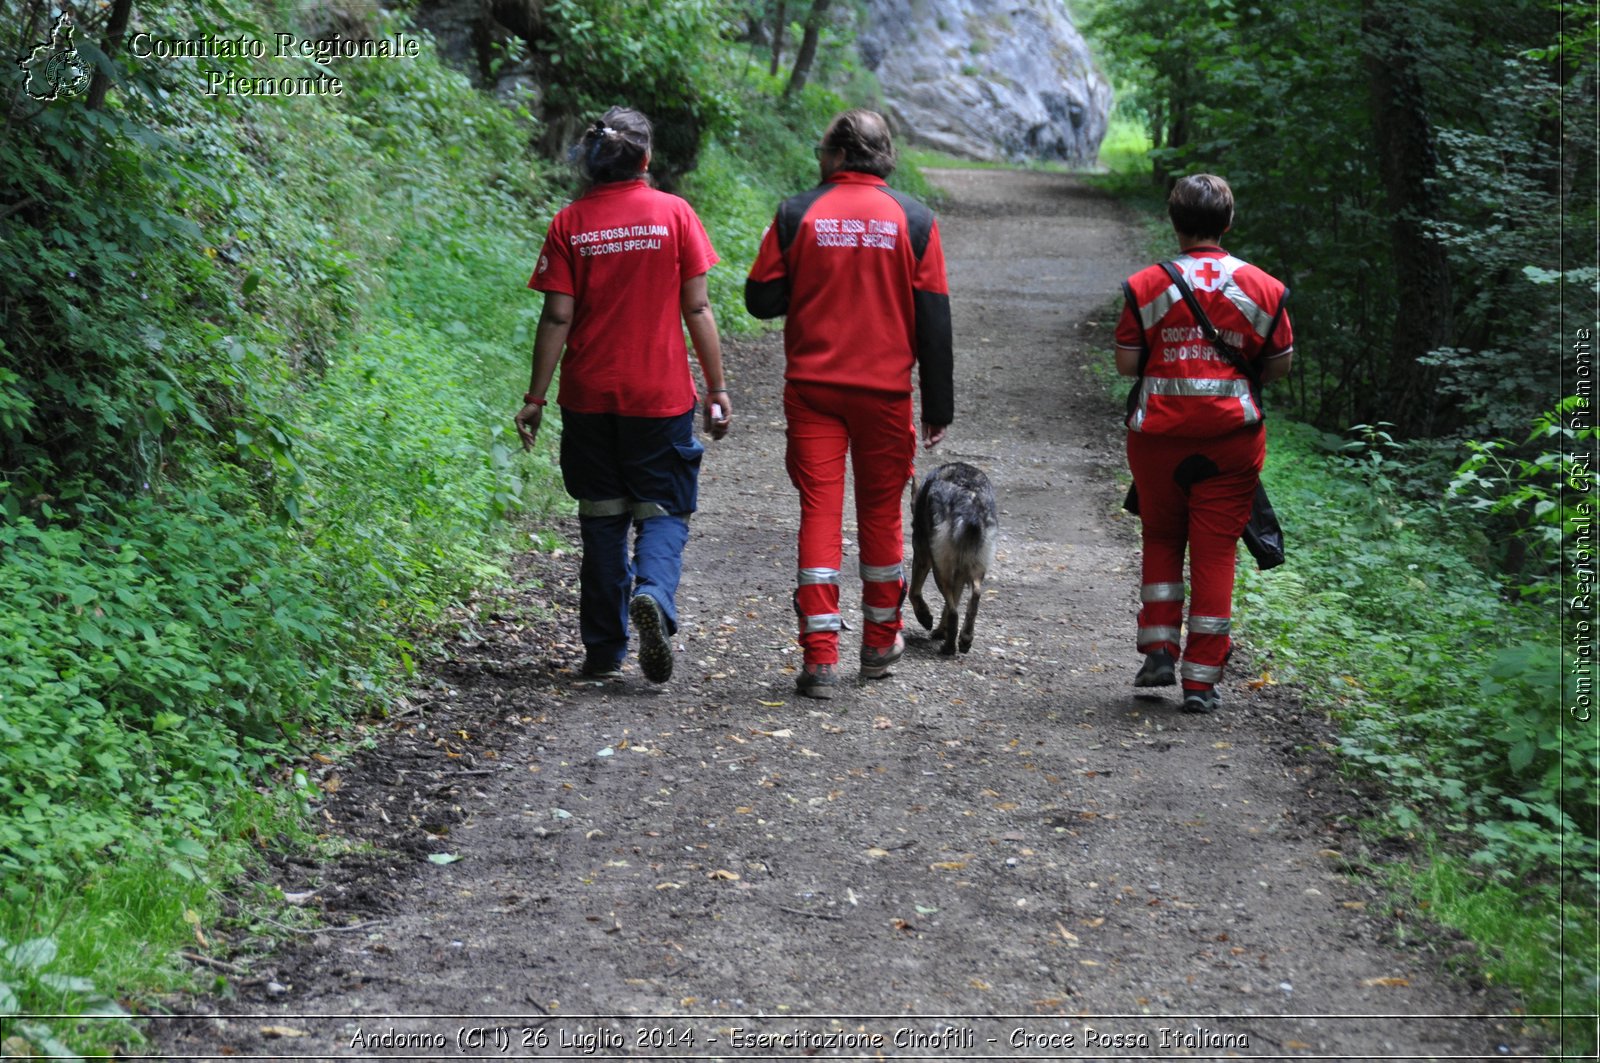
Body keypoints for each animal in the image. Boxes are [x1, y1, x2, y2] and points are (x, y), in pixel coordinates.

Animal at [908, 461, 992, 653]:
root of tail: (969, 502)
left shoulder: (922, 557)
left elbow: (913, 592)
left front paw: (925, 616)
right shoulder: (959, 574)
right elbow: (950, 603)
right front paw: (941, 631)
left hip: (940, 570)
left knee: (954, 612)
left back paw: (948, 647)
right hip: (973, 569)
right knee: (973, 596)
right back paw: (965, 637)